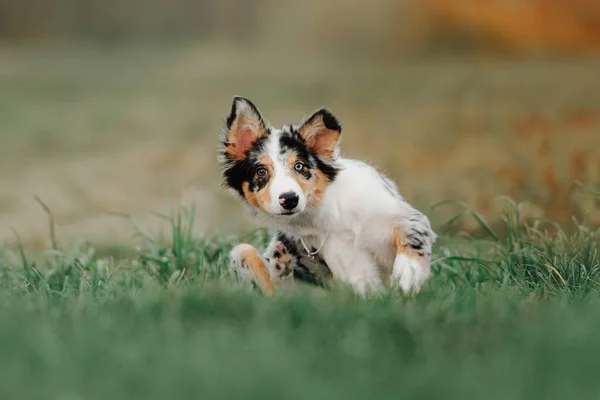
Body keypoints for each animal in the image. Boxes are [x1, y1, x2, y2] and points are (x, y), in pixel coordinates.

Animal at [220, 96, 436, 296]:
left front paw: (407, 274)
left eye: (299, 166)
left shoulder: (399, 214)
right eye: (261, 171)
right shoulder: (351, 264)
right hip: (241, 252)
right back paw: (281, 266)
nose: (289, 199)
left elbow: (411, 233)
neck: (330, 214)